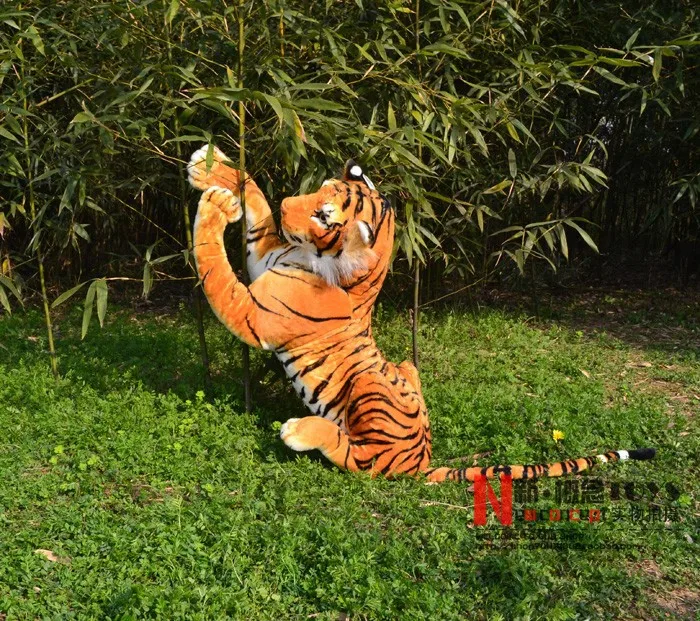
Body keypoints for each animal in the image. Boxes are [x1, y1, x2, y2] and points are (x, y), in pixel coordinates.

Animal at [187, 145, 655, 482]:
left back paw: (298, 431)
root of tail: (425, 459)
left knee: (359, 459)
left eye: (323, 215)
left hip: (369, 391)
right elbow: (257, 203)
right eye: (318, 189)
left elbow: (214, 266)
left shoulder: (253, 314)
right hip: (405, 368)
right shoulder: (264, 252)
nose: (289, 203)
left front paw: (213, 206)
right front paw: (214, 170)